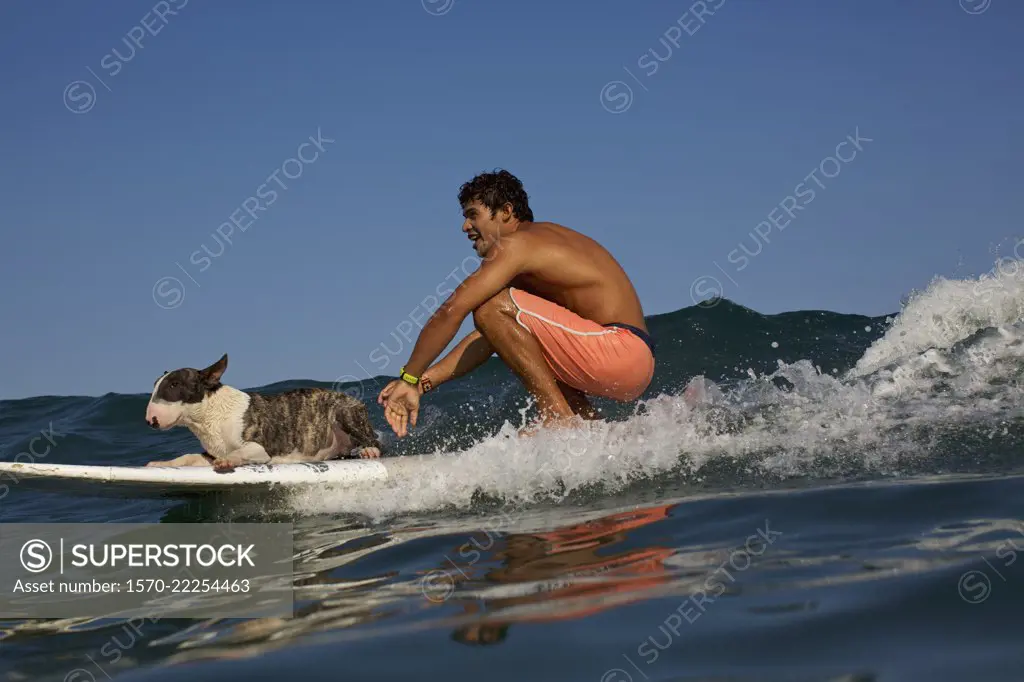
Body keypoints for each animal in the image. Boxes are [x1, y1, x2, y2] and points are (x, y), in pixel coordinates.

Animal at [144, 352, 385, 471]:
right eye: (155, 384)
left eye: (174, 384)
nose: (149, 420)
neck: (210, 416)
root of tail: (353, 399)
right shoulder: (210, 453)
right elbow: (188, 457)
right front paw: (160, 464)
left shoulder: (260, 448)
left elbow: (239, 452)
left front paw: (228, 461)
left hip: (343, 412)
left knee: (374, 441)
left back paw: (369, 450)